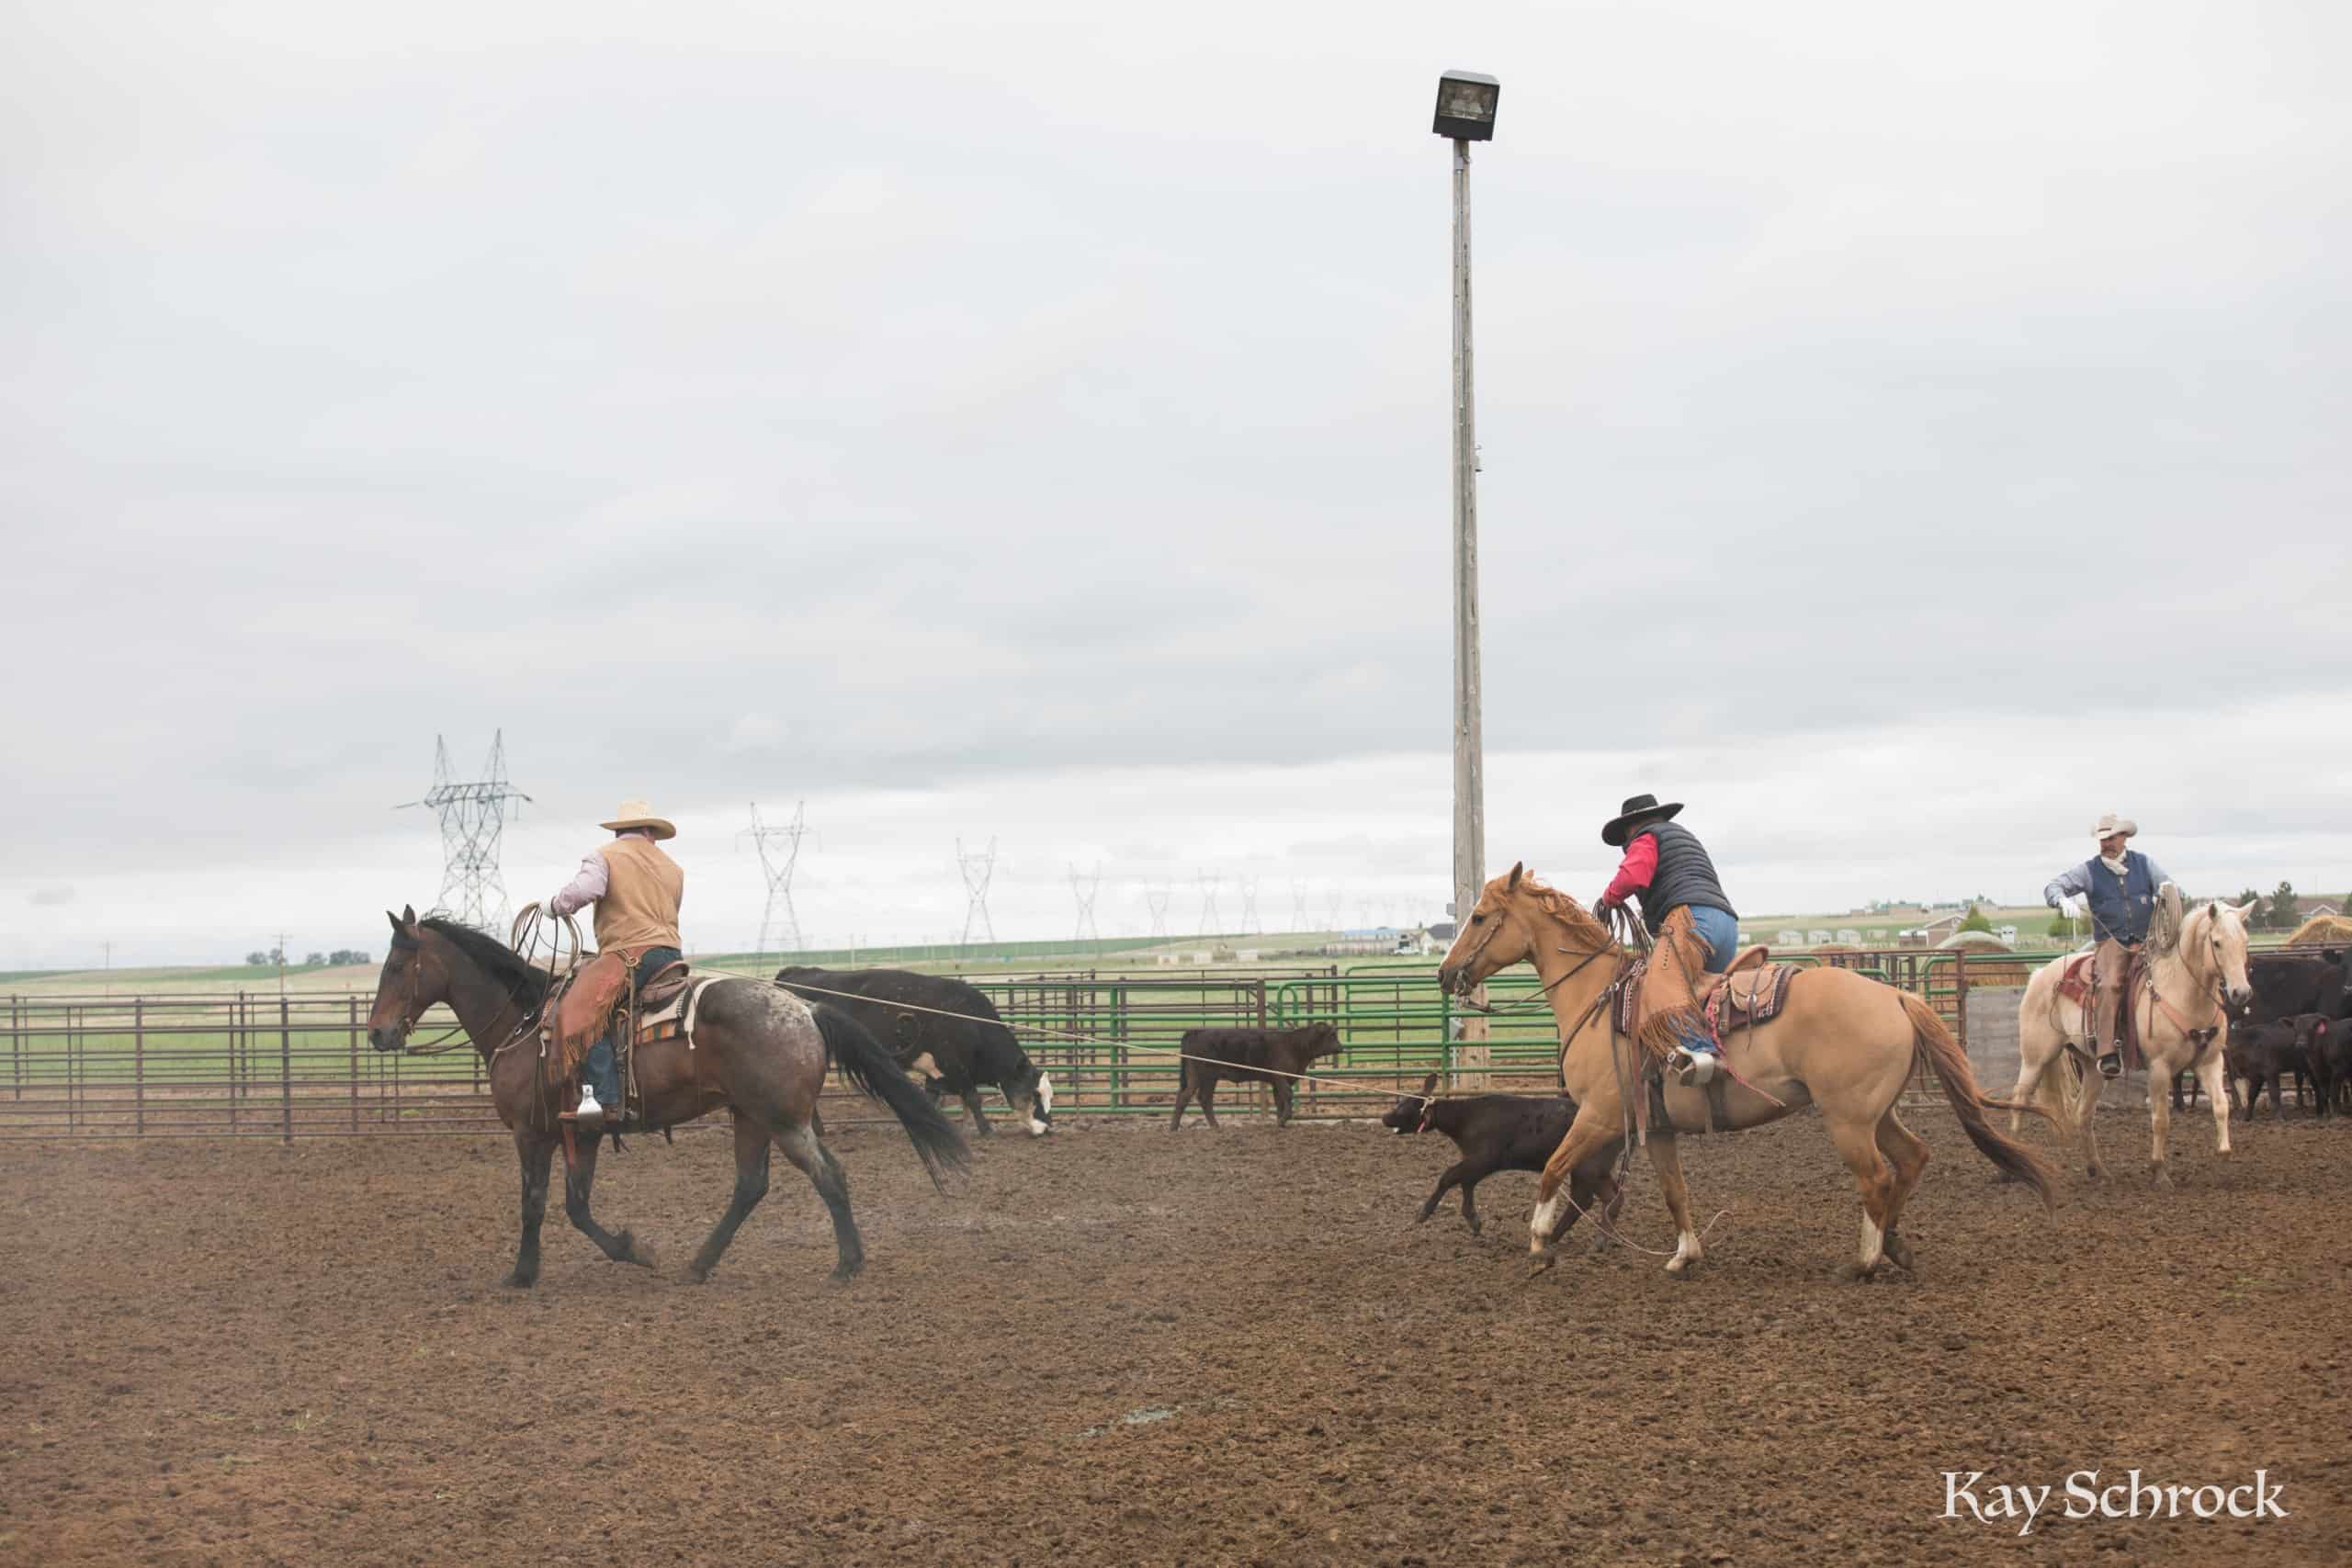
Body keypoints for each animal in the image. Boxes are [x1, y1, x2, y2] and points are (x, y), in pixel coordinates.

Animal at [775, 966, 1051, 1137]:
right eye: (1034, 1094)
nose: (1049, 1129)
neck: (969, 1021)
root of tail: (791, 973)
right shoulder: (954, 1066)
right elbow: (973, 1098)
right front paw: (986, 1130)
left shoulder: (937, 1073)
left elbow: (933, 1099)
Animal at [1167, 1022, 1342, 1129]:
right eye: (1332, 1035)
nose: (1341, 1048)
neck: (1293, 1045)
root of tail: (1195, 1031)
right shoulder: (1280, 1077)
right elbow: (1287, 1095)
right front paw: (1283, 1119)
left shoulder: (1276, 1081)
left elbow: (1279, 1100)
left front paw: (1281, 1122)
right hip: (1206, 1075)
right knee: (1200, 1098)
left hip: (1196, 1075)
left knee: (1188, 1096)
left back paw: (1180, 1127)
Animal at [1378, 1074, 1606, 1238]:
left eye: (1405, 1107)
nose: (1384, 1117)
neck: (1466, 1118)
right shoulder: (1474, 1162)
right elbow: (1466, 1183)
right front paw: (1473, 1220)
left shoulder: (1483, 1160)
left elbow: (1449, 1177)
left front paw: (1424, 1213)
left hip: (1585, 1167)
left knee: (1584, 1199)